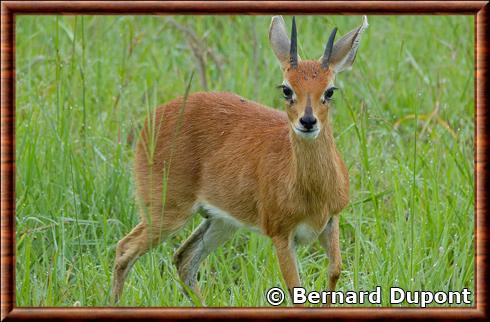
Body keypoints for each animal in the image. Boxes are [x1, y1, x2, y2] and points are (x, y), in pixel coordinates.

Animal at [113, 15, 368, 306]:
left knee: (183, 259)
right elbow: (296, 291)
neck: (311, 191)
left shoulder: (331, 221)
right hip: (167, 212)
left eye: (330, 90)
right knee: (125, 249)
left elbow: (334, 271)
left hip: (221, 221)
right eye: (286, 89)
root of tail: (151, 119)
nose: (307, 121)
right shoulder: (280, 235)